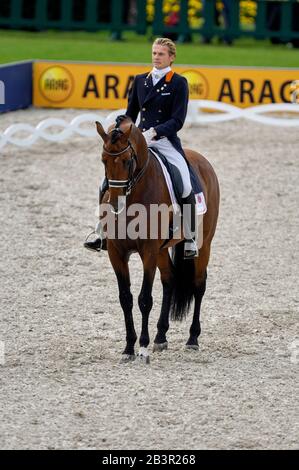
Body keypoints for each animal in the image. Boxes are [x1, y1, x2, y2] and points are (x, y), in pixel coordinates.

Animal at [95, 117, 220, 364]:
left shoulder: (148, 252)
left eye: (127, 161)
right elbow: (126, 298)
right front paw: (128, 348)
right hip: (163, 250)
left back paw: (192, 339)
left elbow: (145, 299)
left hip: (204, 243)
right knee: (169, 279)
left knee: (199, 284)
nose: (115, 205)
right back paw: (161, 336)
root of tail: (201, 159)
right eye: (103, 160)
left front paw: (142, 348)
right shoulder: (116, 253)